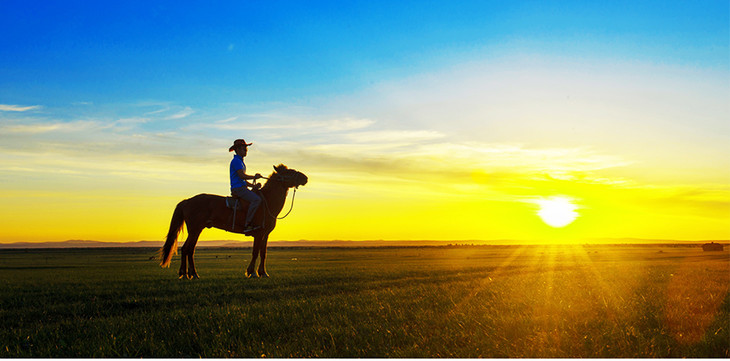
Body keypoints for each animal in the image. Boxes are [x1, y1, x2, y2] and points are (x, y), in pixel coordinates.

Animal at [158, 163, 306, 278]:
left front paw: (263, 273)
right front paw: (251, 272)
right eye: (289, 172)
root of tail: (188, 201)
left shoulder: (265, 234)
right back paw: (189, 274)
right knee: (187, 249)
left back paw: (188, 273)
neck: (267, 202)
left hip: (195, 230)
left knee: (188, 249)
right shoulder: (258, 234)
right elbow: (255, 252)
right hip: (195, 230)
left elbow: (263, 253)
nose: (305, 177)